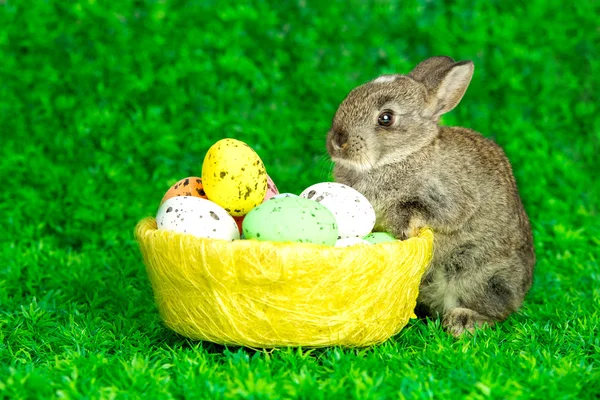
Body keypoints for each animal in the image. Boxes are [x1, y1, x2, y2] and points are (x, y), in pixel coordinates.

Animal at [326, 57, 536, 338]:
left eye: (386, 118)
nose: (337, 142)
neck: (405, 154)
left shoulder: (451, 198)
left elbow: (426, 209)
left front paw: (406, 231)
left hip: (481, 278)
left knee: (497, 312)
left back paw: (462, 322)